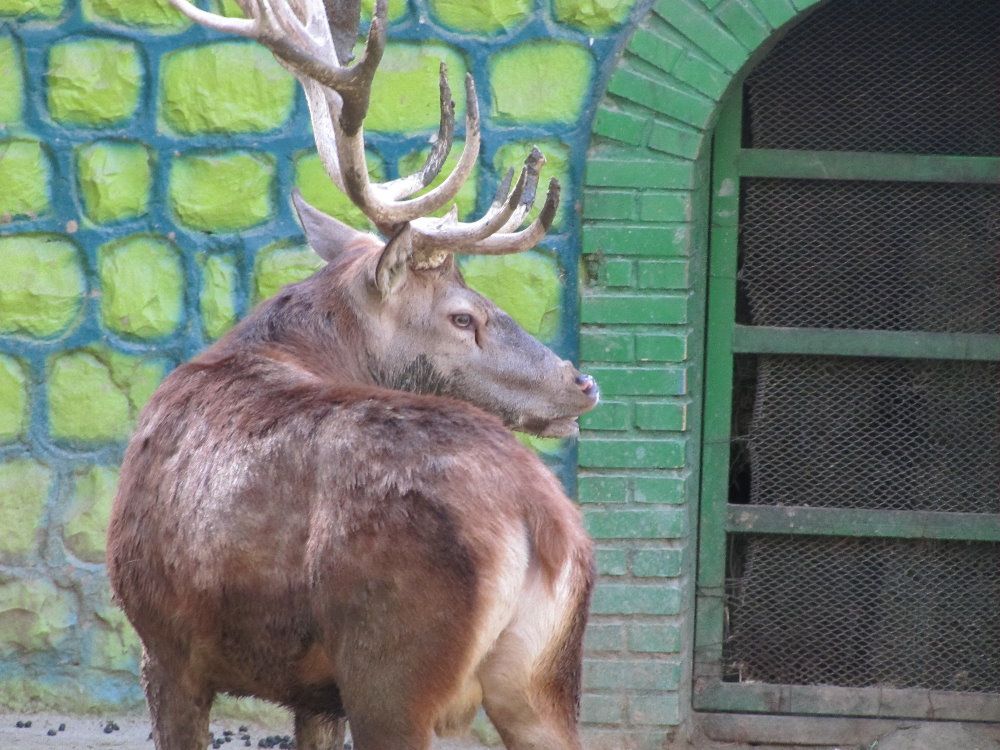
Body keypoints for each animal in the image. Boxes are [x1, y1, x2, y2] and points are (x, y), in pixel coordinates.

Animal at [106, 1, 599, 749]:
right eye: (463, 316)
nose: (580, 383)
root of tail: (539, 520)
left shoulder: (166, 647)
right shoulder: (316, 695)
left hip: (392, 669)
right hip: (544, 680)